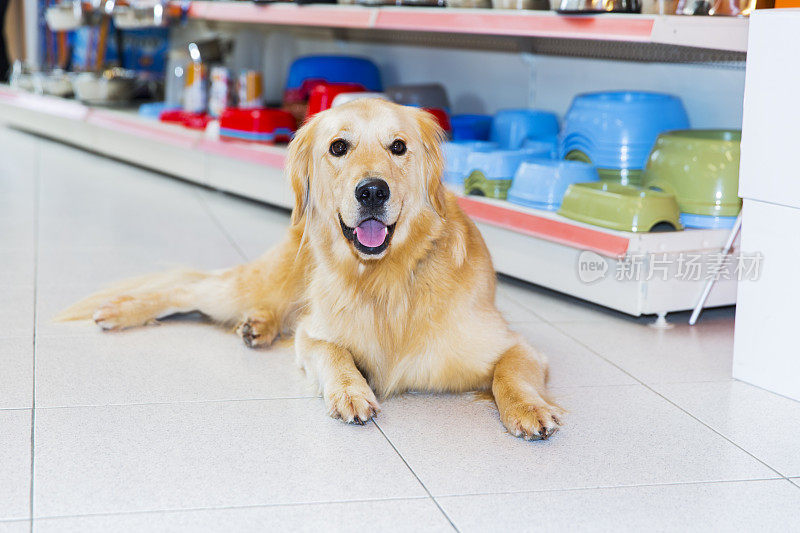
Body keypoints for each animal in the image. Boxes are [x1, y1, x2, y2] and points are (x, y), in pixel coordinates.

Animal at [57, 97, 564, 438]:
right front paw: (350, 391)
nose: (372, 191)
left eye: (398, 147)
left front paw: (529, 408)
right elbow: (334, 353)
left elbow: (510, 373)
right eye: (338, 147)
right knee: (187, 285)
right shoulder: (314, 334)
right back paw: (120, 309)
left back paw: (257, 326)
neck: (386, 277)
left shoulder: (515, 346)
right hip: (254, 284)